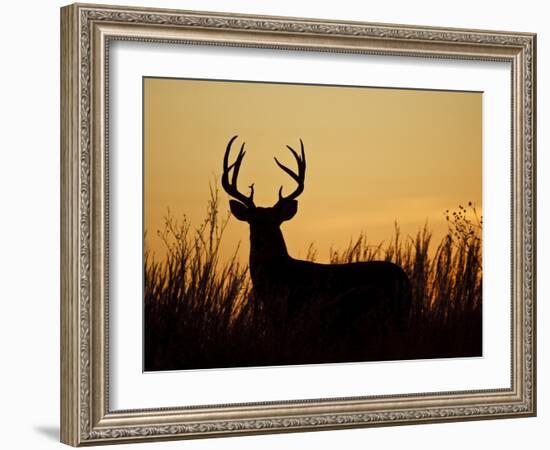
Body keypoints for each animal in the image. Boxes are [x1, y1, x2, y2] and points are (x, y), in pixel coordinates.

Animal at [222, 135, 412, 346]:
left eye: (274, 222)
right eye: (252, 221)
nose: (258, 240)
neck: (280, 274)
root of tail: (405, 280)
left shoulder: (294, 311)